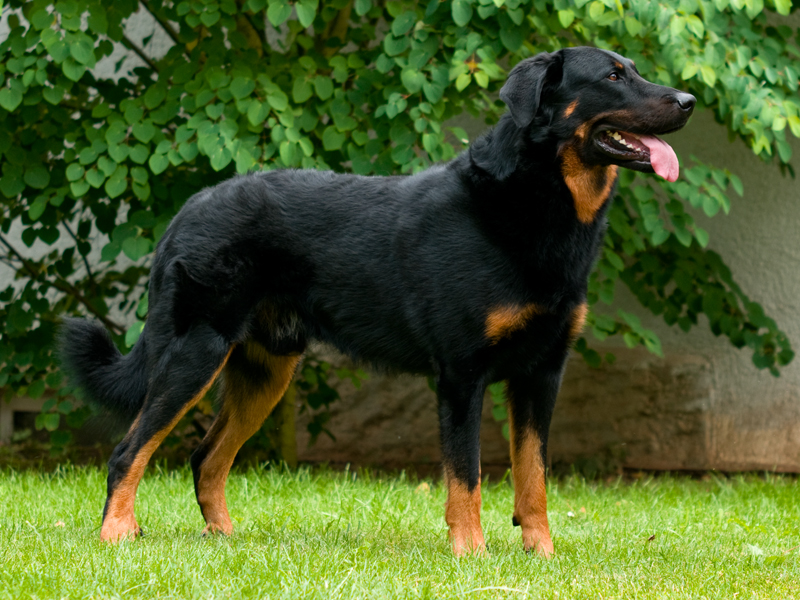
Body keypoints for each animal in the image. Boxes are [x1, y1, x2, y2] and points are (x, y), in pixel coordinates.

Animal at [59, 48, 692, 556]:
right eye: (613, 76)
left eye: (634, 69)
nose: (687, 101)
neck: (533, 201)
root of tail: (187, 210)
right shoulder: (461, 375)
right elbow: (467, 477)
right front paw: (471, 555)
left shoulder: (541, 373)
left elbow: (532, 477)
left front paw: (541, 554)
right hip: (194, 353)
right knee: (129, 450)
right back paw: (117, 534)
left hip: (265, 373)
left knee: (206, 458)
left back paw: (225, 541)